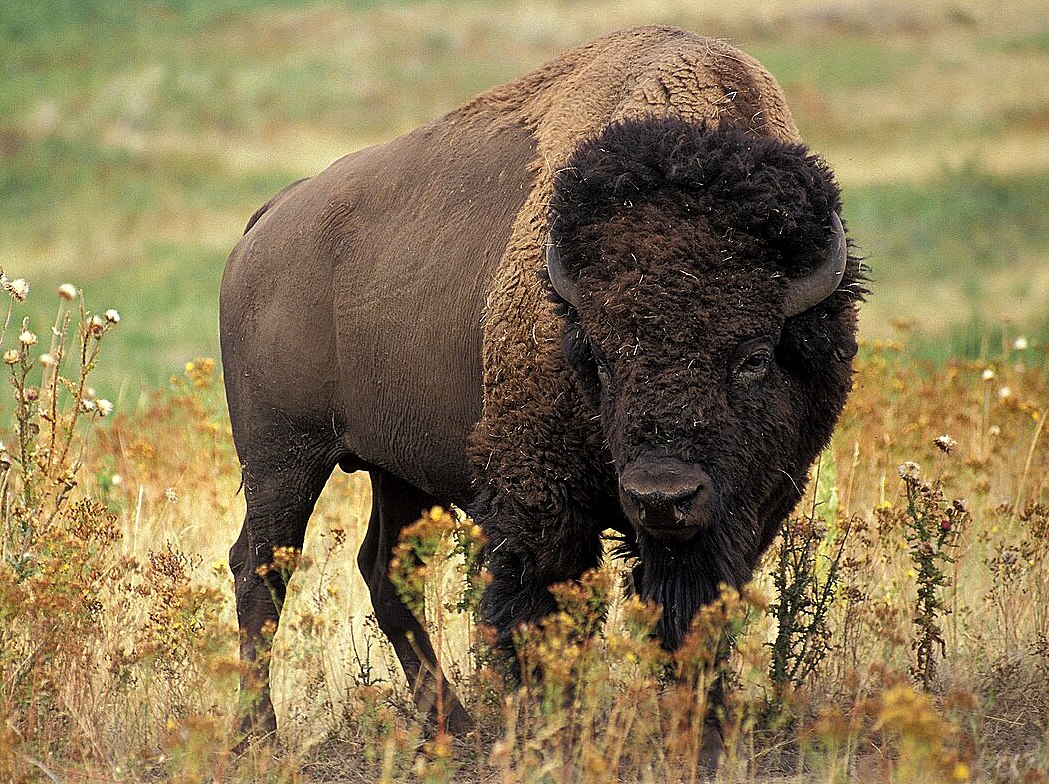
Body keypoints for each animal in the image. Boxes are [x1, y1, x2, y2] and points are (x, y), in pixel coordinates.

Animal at [220, 25, 863, 743]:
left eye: (753, 356)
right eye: (601, 359)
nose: (662, 495)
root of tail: (268, 221)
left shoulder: (747, 508)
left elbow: (695, 615)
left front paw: (704, 731)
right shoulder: (541, 501)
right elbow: (541, 615)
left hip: (397, 469)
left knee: (383, 571)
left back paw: (453, 729)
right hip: (282, 458)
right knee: (260, 569)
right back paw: (260, 737)